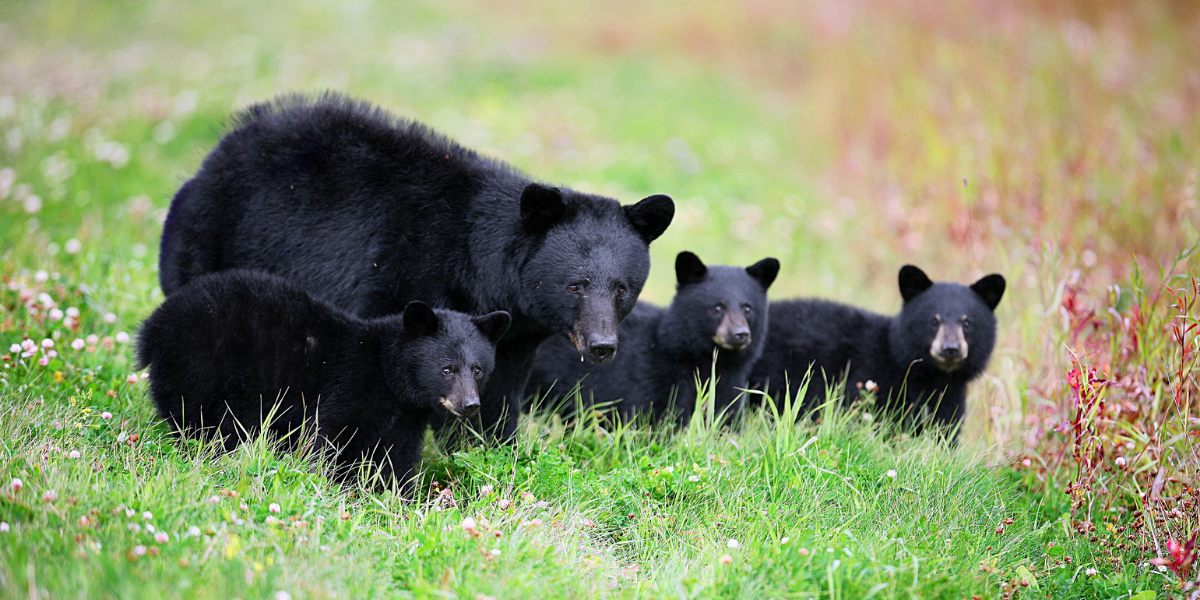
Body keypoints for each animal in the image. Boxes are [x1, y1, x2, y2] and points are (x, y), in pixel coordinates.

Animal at [136, 271, 511, 487]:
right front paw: (334, 487)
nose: (470, 404)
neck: (389, 376)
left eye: (478, 368)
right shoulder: (350, 384)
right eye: (447, 369)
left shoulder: (405, 418)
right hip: (199, 366)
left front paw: (399, 498)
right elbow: (332, 437)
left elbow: (397, 457)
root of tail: (154, 325)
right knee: (196, 422)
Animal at [156, 92, 676, 441]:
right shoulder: (400, 277)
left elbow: (498, 394)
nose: (602, 345)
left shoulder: (512, 339)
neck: (478, 268)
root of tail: (221, 145)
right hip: (206, 241)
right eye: (575, 285)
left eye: (622, 288)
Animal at [748, 265, 1003, 434]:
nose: (951, 348)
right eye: (934, 320)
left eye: (967, 322)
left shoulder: (952, 396)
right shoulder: (869, 376)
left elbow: (945, 430)